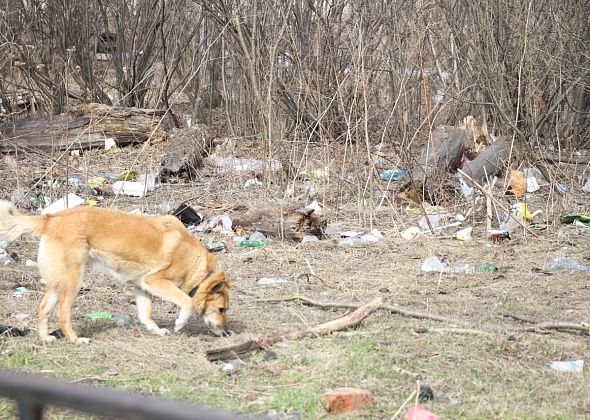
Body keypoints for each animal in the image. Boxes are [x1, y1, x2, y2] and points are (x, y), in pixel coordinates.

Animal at [0, 201, 235, 344]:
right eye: (221, 309)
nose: (227, 333)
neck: (194, 264)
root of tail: (50, 218)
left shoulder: (142, 286)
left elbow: (146, 315)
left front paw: (156, 330)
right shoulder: (156, 281)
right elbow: (186, 301)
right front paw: (180, 323)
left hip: (58, 282)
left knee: (43, 308)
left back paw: (45, 337)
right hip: (72, 281)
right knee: (62, 314)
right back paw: (75, 339)